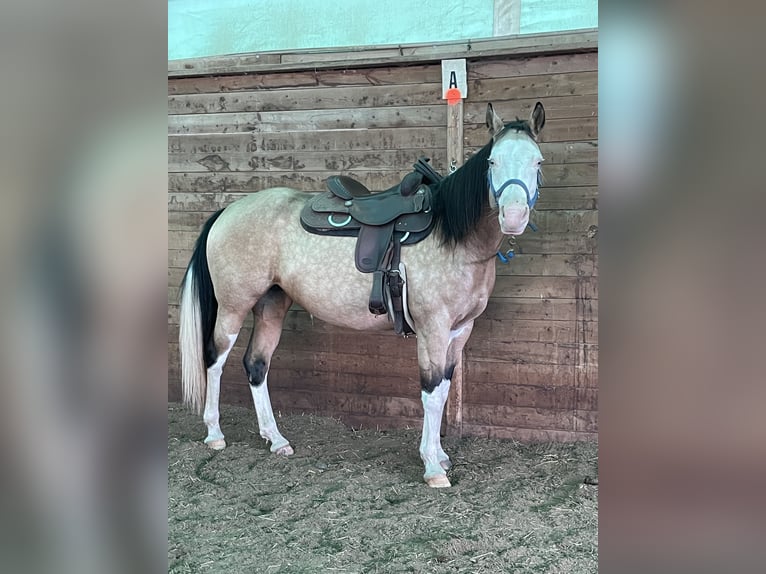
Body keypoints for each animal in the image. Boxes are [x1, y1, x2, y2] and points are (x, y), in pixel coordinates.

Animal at [179, 102, 546, 488]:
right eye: (492, 161)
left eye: (538, 161)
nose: (514, 216)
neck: (453, 236)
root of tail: (227, 211)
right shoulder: (433, 327)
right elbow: (431, 392)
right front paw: (432, 466)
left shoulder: (460, 330)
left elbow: (444, 388)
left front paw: (441, 456)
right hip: (233, 306)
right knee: (215, 359)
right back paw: (214, 433)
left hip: (271, 305)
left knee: (256, 364)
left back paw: (276, 439)